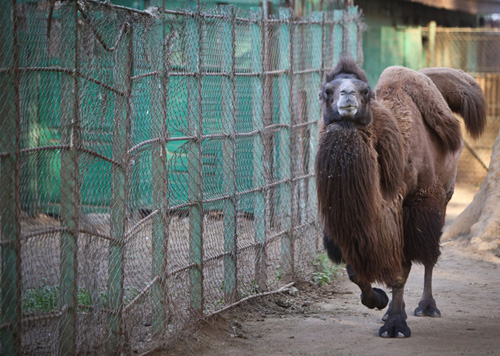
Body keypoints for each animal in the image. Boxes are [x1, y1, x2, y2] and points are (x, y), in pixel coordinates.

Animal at [316, 57, 484, 338]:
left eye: (365, 92)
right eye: (326, 92)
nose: (347, 94)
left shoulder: (412, 206)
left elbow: (402, 268)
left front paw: (395, 325)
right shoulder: (350, 228)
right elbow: (355, 271)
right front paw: (379, 301)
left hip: (443, 195)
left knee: (429, 254)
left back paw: (427, 307)